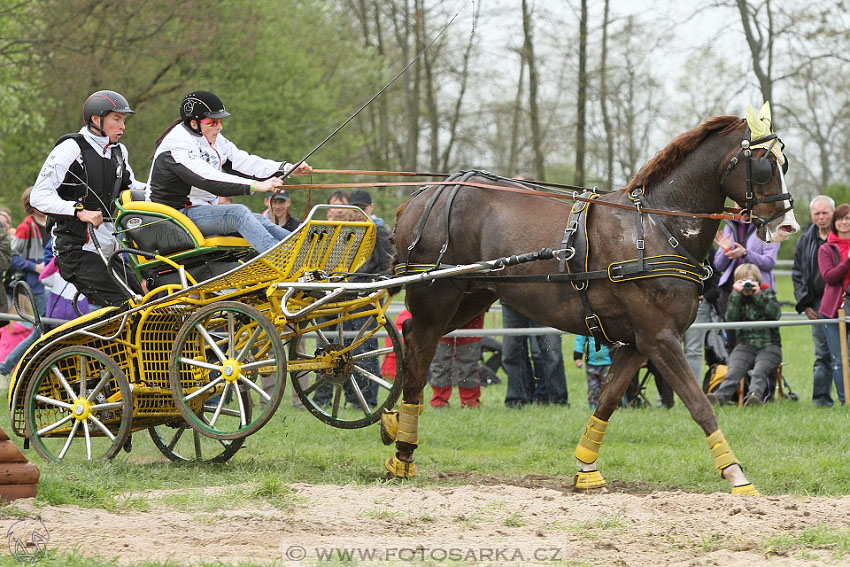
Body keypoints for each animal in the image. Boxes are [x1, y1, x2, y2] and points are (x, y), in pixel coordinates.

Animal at [380, 104, 800, 494]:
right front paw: (736, 474)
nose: (787, 226)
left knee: (409, 338)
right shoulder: (660, 338)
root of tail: (424, 197)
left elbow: (608, 399)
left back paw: (393, 425)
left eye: (784, 162)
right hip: (438, 300)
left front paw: (586, 468)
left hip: (471, 299)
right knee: (419, 358)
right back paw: (403, 451)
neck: (656, 227)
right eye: (764, 165)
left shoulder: (636, 343)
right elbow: (699, 404)